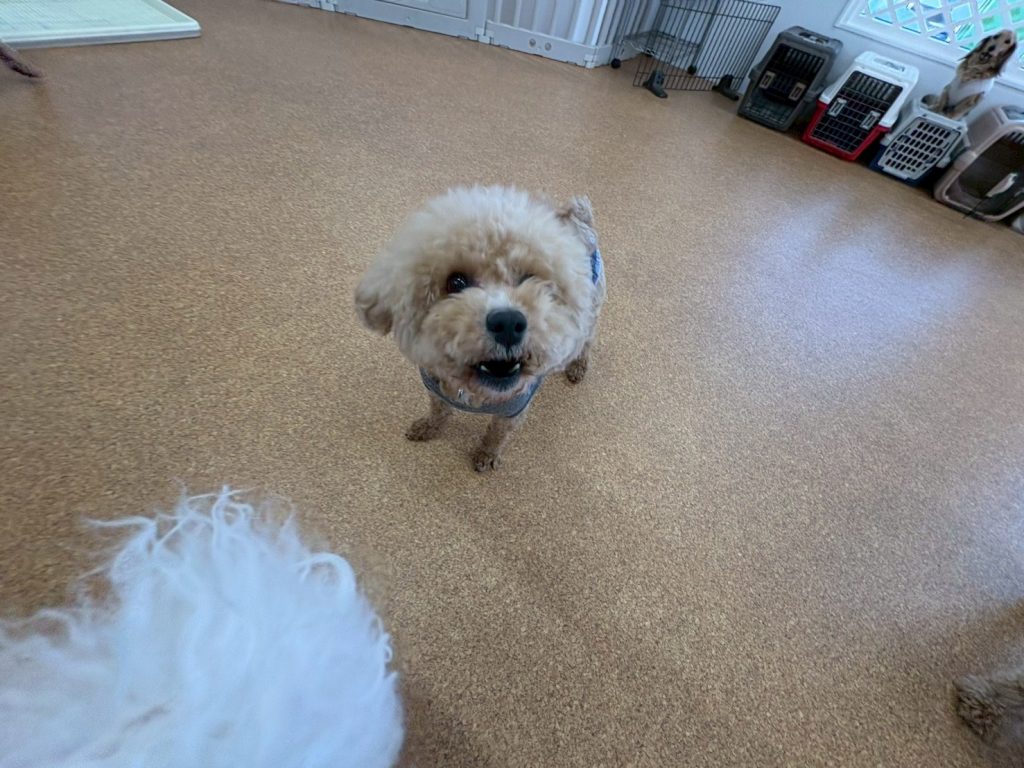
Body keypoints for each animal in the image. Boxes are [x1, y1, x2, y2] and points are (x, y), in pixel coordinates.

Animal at [355, 185, 606, 471]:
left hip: (590, 312)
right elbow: (438, 410)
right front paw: (427, 428)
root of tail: (579, 219)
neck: (476, 393)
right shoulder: (435, 389)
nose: (507, 323)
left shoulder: (512, 412)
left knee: (585, 344)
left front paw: (486, 455)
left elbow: (496, 435)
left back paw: (577, 367)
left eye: (530, 279)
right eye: (456, 281)